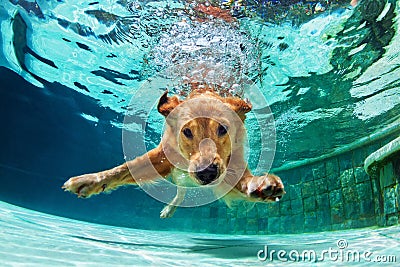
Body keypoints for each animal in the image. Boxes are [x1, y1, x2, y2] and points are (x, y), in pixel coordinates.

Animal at [63, 83, 284, 218]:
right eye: (186, 131)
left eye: (222, 128)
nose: (206, 174)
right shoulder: (162, 156)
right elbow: (124, 168)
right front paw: (91, 180)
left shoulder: (233, 162)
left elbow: (244, 180)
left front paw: (260, 185)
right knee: (180, 191)